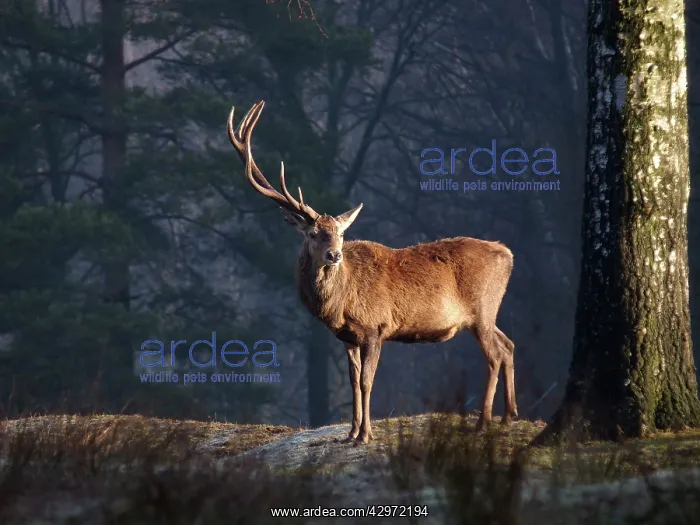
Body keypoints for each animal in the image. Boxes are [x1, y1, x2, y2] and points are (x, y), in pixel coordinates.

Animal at [227, 100, 518, 443]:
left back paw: (483, 422)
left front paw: (365, 434)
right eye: (313, 234)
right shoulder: (348, 337)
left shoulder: (375, 326)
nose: (334, 255)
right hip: (487, 312)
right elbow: (354, 382)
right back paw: (508, 416)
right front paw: (351, 432)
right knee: (508, 345)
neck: (338, 304)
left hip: (481, 309)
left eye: (341, 234)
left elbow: (367, 381)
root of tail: (508, 255)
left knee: (494, 355)